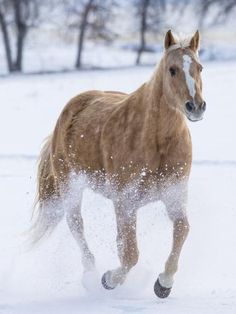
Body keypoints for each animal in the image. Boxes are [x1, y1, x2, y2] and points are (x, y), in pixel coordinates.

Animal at [32, 30, 206, 298]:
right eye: (172, 69)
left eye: (200, 67)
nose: (195, 107)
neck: (156, 143)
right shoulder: (125, 202)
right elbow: (130, 254)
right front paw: (109, 280)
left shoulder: (174, 196)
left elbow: (182, 230)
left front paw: (163, 284)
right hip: (70, 187)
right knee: (76, 225)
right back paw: (91, 275)